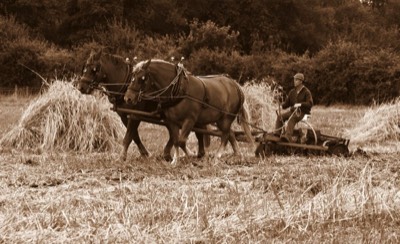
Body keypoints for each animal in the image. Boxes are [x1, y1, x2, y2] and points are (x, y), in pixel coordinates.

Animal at [76, 50, 208, 161]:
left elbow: (128, 137)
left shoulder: (135, 115)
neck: (125, 84)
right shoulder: (124, 116)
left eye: (94, 69)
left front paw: (122, 157)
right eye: (84, 68)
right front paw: (145, 153)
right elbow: (134, 136)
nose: (81, 87)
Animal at [124, 59, 253, 165]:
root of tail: (235, 85)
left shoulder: (190, 120)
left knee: (225, 135)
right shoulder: (172, 121)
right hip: (220, 119)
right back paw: (237, 155)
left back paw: (217, 158)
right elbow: (176, 140)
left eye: (142, 78)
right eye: (132, 76)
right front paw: (175, 161)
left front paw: (190, 156)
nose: (128, 98)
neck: (180, 90)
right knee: (230, 134)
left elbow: (181, 141)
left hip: (226, 118)